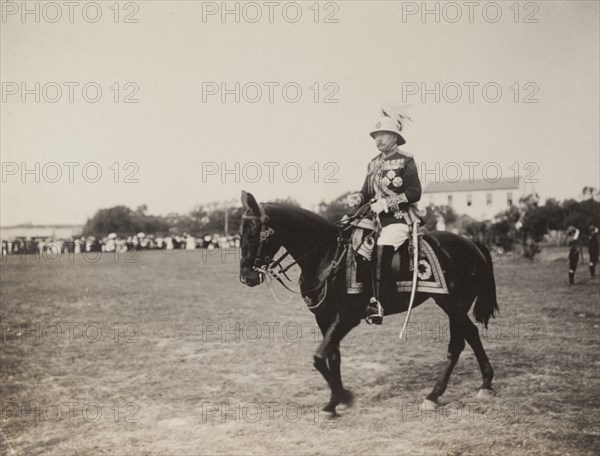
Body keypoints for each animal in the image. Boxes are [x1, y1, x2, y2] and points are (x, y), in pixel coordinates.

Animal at [239, 191, 496, 416]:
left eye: (254, 233)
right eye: (239, 234)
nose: (246, 277)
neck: (327, 255)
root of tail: (471, 243)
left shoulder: (347, 317)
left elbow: (319, 357)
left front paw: (343, 397)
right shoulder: (324, 317)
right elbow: (332, 356)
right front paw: (334, 402)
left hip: (453, 304)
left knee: (458, 343)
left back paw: (434, 395)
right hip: (453, 306)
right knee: (471, 334)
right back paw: (484, 383)